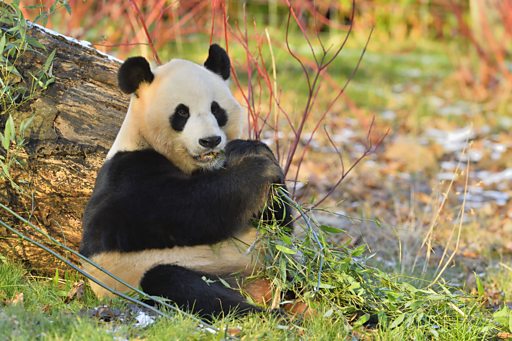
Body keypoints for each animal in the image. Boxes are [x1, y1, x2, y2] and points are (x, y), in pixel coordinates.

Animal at [80, 43, 292, 318]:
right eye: (182, 112)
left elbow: (278, 223)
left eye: (216, 109)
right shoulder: (126, 174)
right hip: (153, 273)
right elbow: (186, 208)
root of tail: (257, 288)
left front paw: (251, 151)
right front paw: (259, 169)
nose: (210, 141)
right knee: (181, 286)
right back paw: (263, 313)